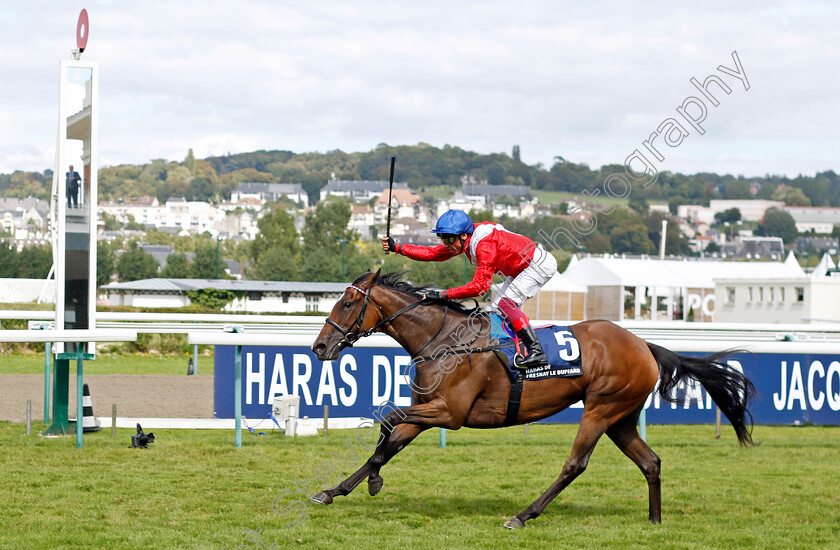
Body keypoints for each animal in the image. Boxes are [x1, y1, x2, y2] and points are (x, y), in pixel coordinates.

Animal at [308, 272, 756, 532]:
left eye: (347, 303)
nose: (319, 347)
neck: (444, 340)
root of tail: (644, 344)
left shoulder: (449, 413)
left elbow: (386, 419)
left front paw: (373, 480)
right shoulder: (427, 410)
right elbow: (390, 439)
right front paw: (335, 490)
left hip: (601, 409)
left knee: (575, 464)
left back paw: (523, 515)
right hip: (622, 417)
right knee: (651, 462)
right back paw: (655, 521)